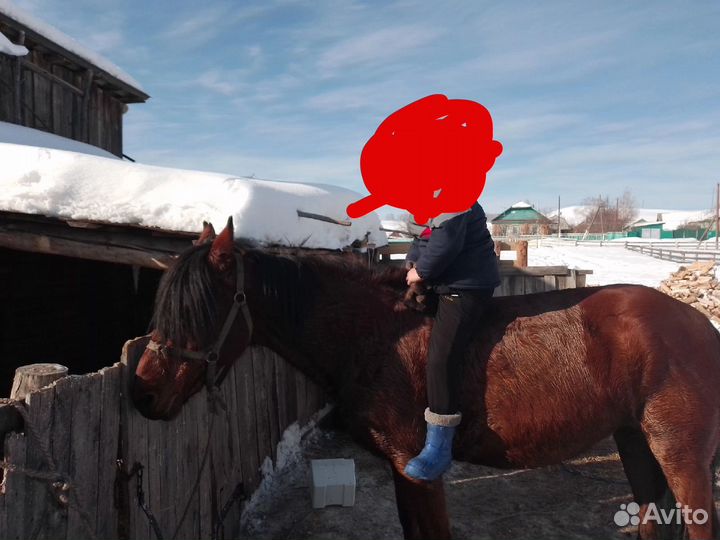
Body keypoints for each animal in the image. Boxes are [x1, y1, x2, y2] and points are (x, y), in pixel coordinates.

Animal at [132, 219, 720, 540]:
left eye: (197, 309)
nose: (143, 392)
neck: (373, 334)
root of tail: (699, 324)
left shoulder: (419, 470)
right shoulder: (400, 470)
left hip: (680, 452)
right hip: (635, 441)